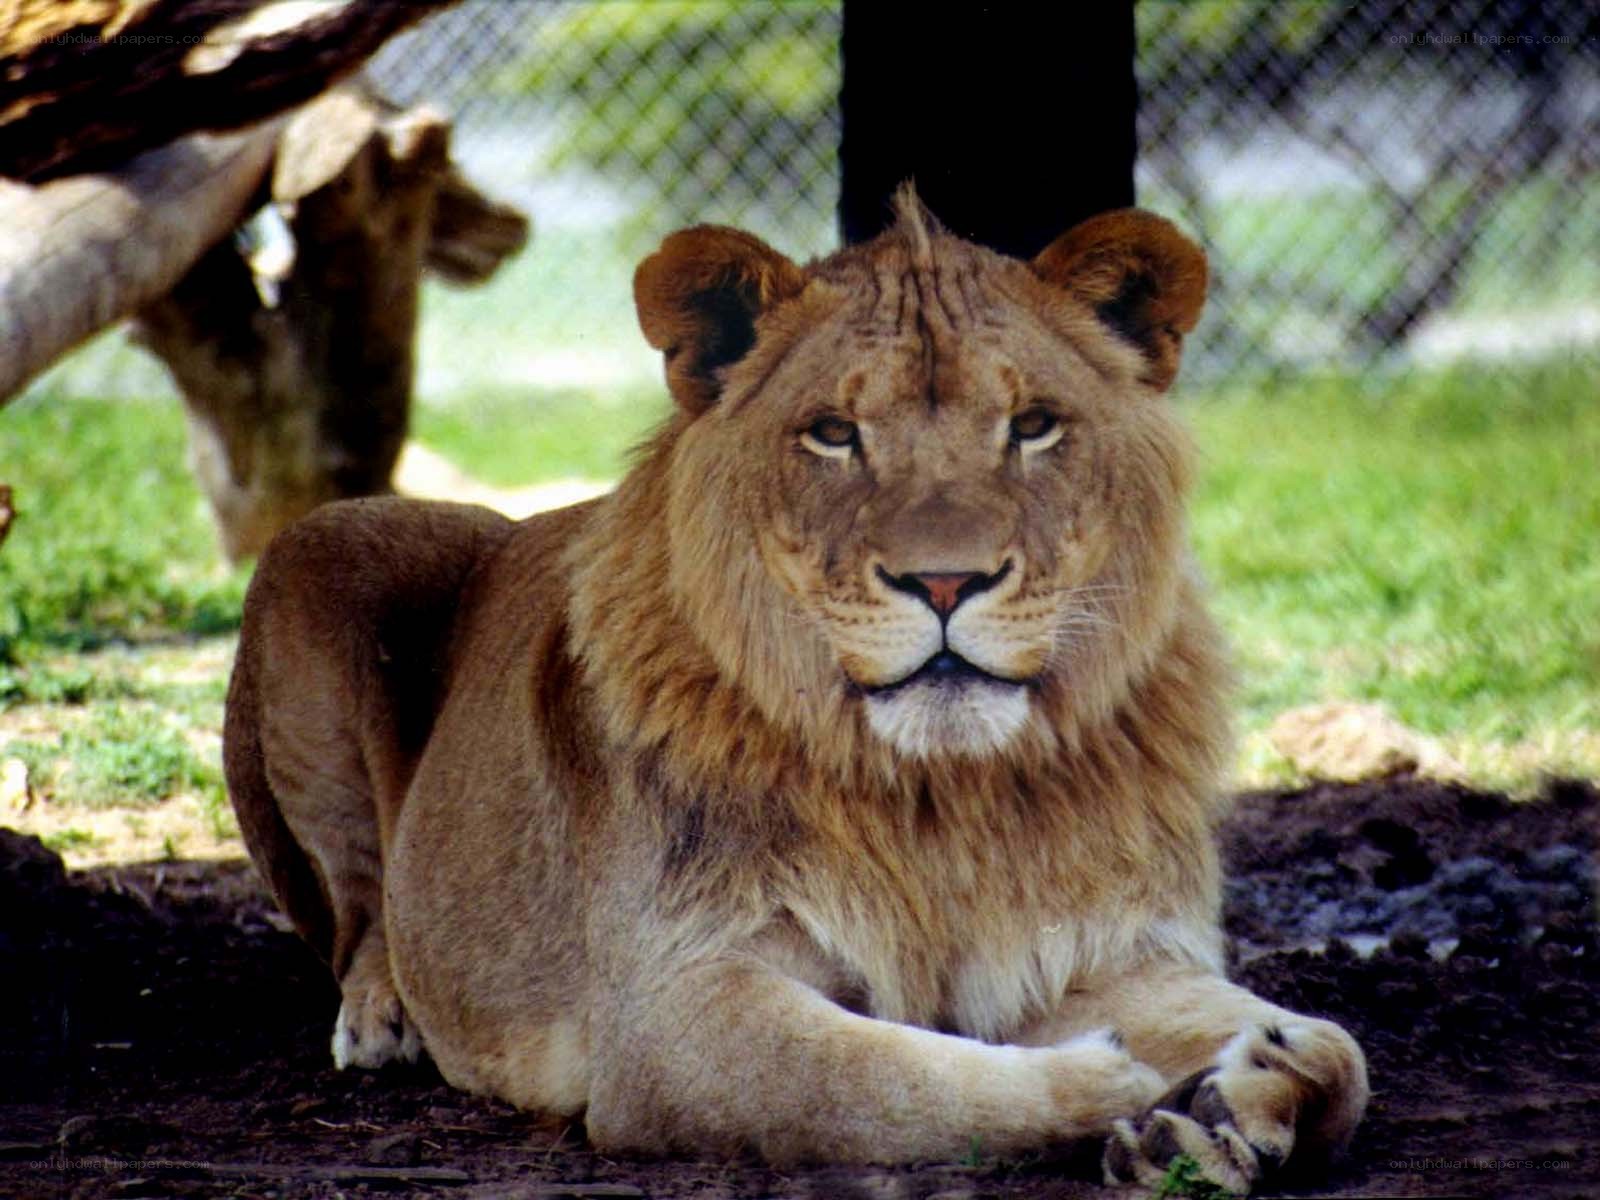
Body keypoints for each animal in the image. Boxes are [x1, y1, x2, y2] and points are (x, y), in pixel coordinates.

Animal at [225, 187, 1367, 1192]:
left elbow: (1341, 1052)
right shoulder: (671, 1011)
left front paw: (1232, 1103)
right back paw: (383, 1017)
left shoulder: (1100, 949)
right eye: (833, 432)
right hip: (327, 547)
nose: (944, 581)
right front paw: (1117, 1084)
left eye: (1034, 424)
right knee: (360, 907)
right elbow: (890, 1083)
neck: (942, 796)